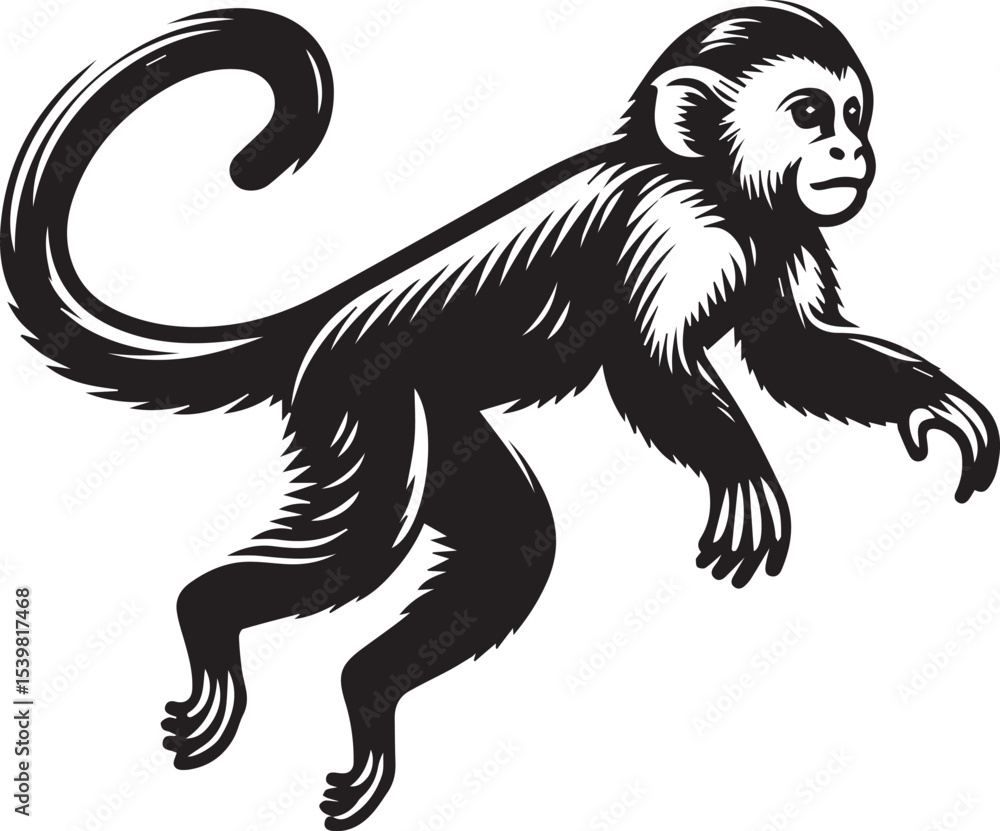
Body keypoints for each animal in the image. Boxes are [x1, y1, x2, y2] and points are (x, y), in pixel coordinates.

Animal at [2, 4, 996, 828]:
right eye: (809, 116)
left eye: (855, 115)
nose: (853, 156)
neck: (723, 191)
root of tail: (324, 319)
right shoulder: (673, 227)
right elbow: (648, 366)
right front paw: (741, 469)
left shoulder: (788, 234)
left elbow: (795, 352)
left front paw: (936, 402)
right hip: (364, 401)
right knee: (370, 539)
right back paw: (210, 619)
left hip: (432, 423)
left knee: (511, 544)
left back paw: (367, 696)